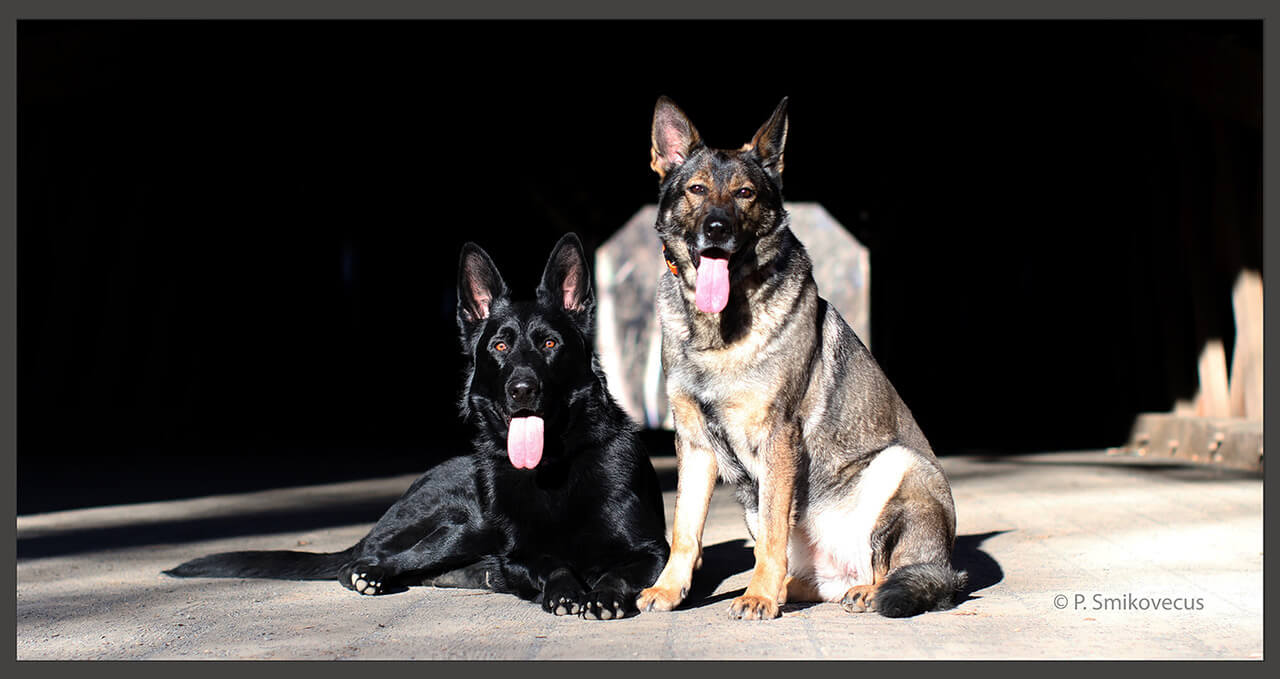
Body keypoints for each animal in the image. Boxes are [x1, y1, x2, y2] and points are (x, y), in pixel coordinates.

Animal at [162, 234, 670, 617]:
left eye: (549, 344)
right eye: (500, 347)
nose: (522, 390)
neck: (552, 469)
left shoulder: (653, 551)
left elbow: (619, 571)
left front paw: (602, 593)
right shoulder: (523, 556)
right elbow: (554, 567)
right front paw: (567, 592)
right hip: (462, 523)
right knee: (369, 561)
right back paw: (371, 574)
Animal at [634, 96, 962, 617]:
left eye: (745, 193)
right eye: (697, 189)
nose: (716, 228)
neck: (720, 329)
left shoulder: (778, 437)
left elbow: (772, 532)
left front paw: (759, 598)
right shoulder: (695, 443)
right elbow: (685, 529)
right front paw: (669, 589)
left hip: (902, 466)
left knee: (891, 567)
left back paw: (861, 591)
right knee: (804, 572)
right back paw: (794, 588)